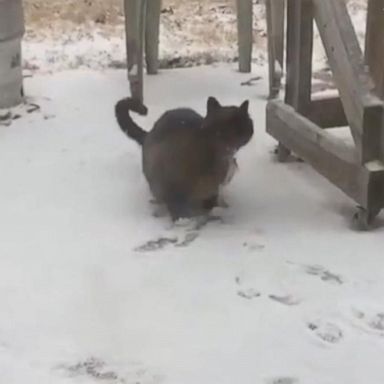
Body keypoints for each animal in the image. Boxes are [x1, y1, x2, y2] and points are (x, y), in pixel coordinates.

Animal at [112, 96, 254, 220]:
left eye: (240, 125)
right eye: (221, 128)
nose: (232, 141)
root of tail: (149, 133)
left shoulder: (214, 188)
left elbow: (210, 202)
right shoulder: (172, 188)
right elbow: (178, 209)